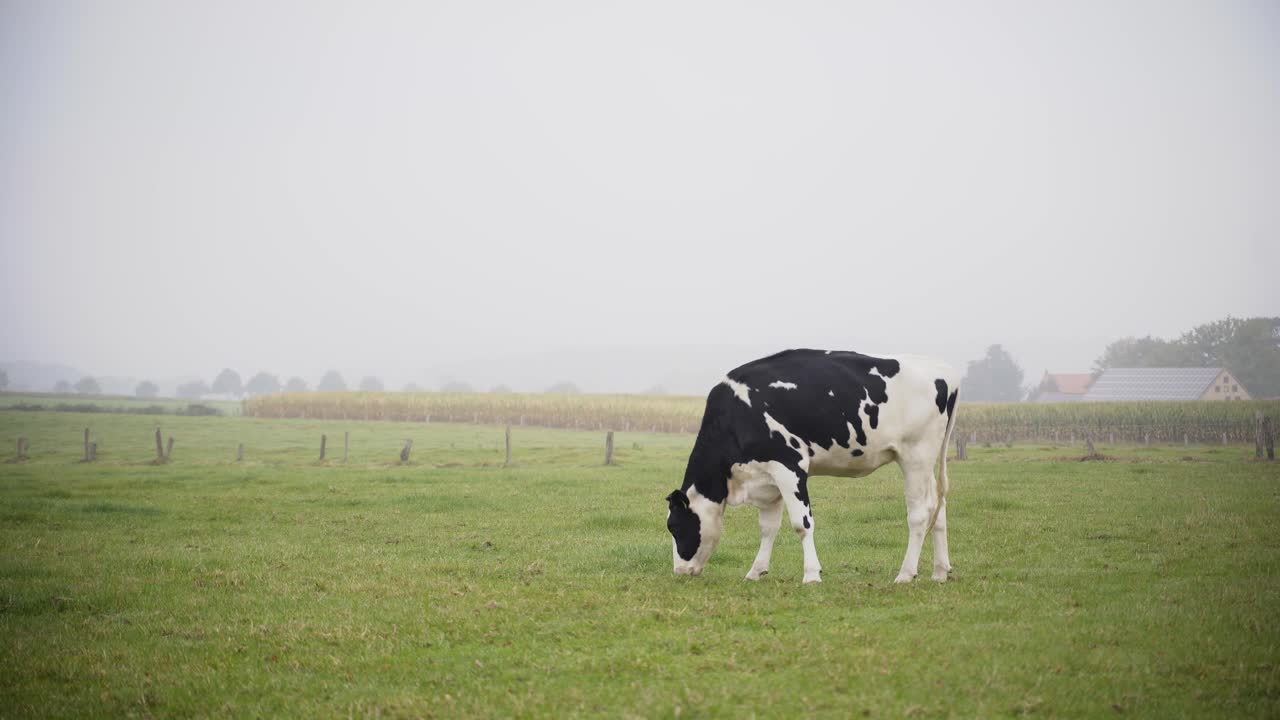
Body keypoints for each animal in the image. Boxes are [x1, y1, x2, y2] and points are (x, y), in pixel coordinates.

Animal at [666, 349, 959, 584]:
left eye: (675, 527)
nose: (679, 571)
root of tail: (946, 371)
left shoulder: (790, 466)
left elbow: (801, 524)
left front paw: (811, 575)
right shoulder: (766, 476)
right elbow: (768, 527)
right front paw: (756, 571)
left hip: (916, 455)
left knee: (920, 513)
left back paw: (906, 574)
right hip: (926, 461)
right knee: (939, 507)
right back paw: (939, 572)